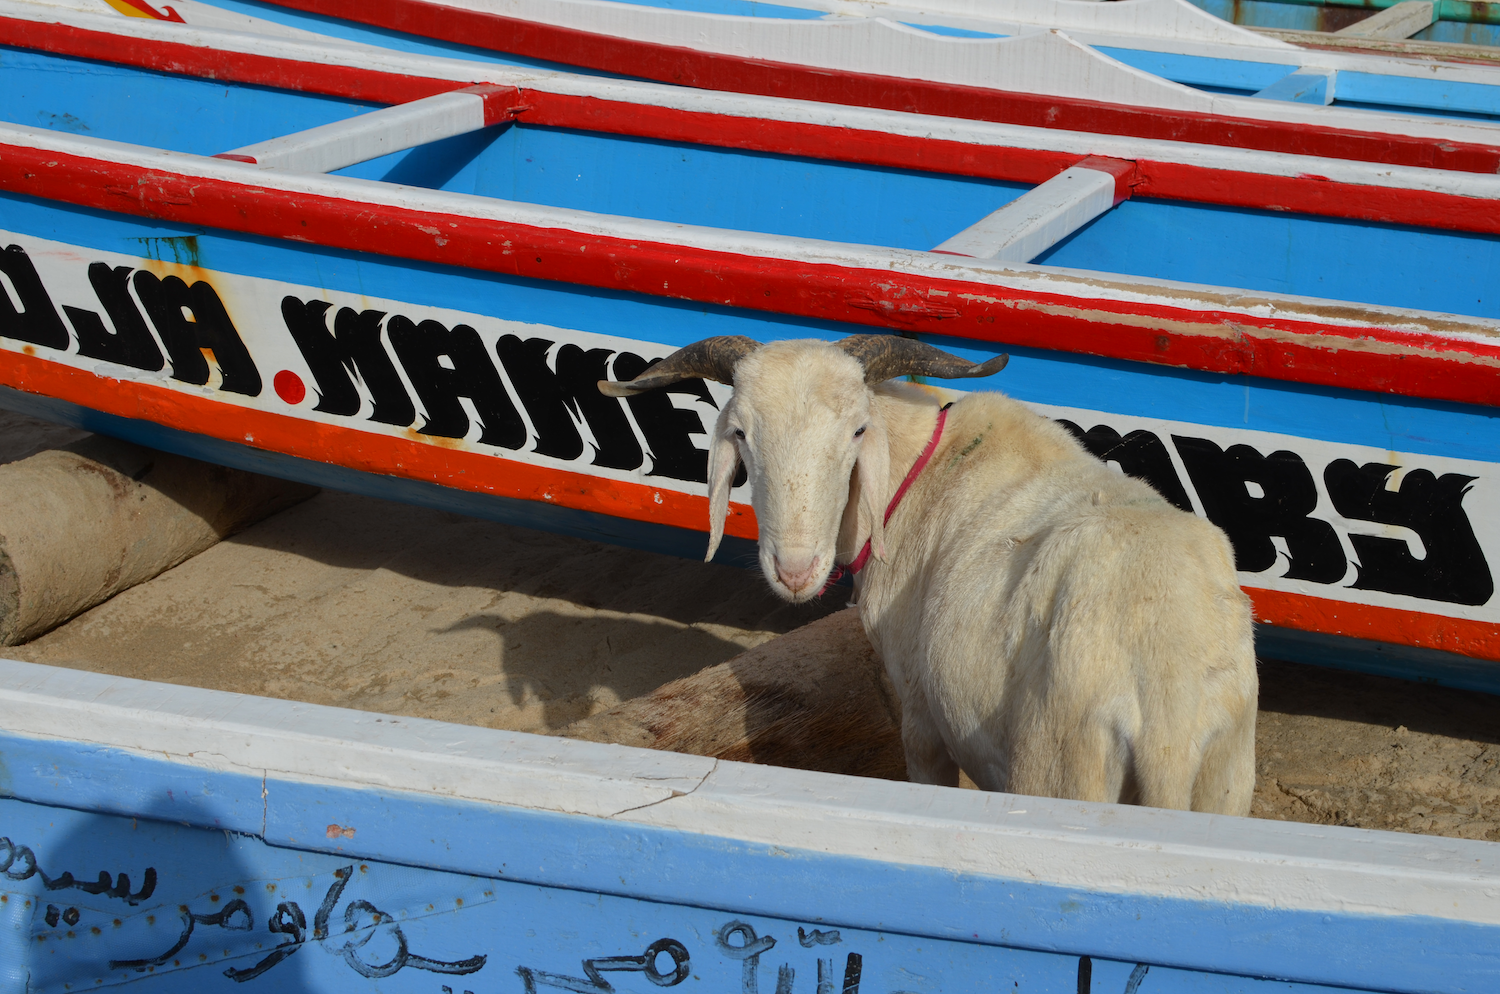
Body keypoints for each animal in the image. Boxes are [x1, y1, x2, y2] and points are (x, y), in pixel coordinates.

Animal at [603, 338, 1260, 815]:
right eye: (741, 433)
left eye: (857, 431)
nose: (795, 570)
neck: (918, 468)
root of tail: (1168, 718)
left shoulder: (921, 720)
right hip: (1224, 779)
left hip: (1060, 769)